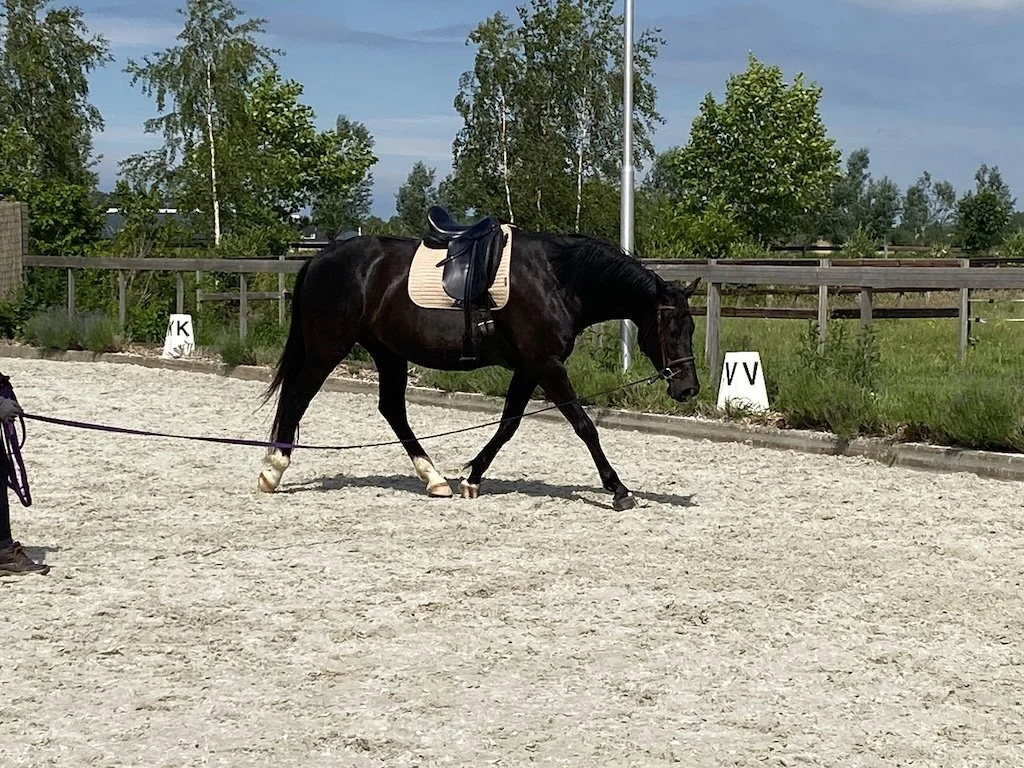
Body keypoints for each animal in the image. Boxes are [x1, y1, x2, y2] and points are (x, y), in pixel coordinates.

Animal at [258, 210, 700, 511]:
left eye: (691, 326)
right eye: (670, 327)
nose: (688, 387)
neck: (557, 279)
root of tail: (319, 258)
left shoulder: (529, 368)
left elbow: (507, 426)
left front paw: (472, 477)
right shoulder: (547, 365)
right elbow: (584, 425)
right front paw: (619, 489)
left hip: (388, 353)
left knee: (392, 409)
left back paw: (435, 478)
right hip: (327, 349)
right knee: (298, 397)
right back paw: (273, 469)